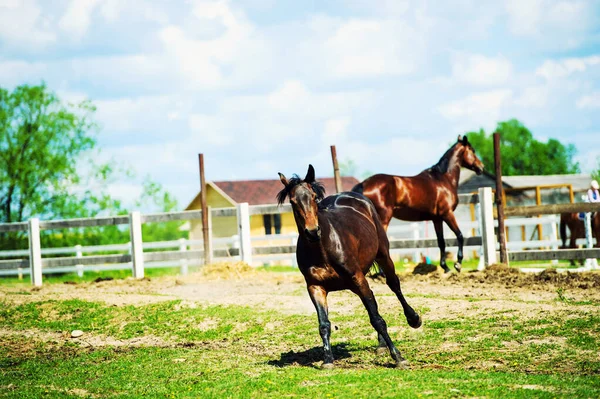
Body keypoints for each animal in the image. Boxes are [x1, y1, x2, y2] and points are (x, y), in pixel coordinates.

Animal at [278, 165, 422, 368]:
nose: (313, 231)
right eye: (292, 201)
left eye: (313, 197)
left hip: (383, 256)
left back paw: (413, 319)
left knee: (394, 285)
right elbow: (324, 324)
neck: (323, 250)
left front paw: (398, 358)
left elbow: (377, 319)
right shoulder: (315, 287)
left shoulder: (357, 278)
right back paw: (381, 345)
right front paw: (327, 361)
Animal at [354, 136, 486, 274]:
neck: (443, 179)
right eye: (472, 150)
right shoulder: (447, 214)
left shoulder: (437, 219)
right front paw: (458, 264)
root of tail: (364, 184)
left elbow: (441, 242)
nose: (481, 167)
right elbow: (459, 236)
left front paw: (445, 267)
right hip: (384, 218)